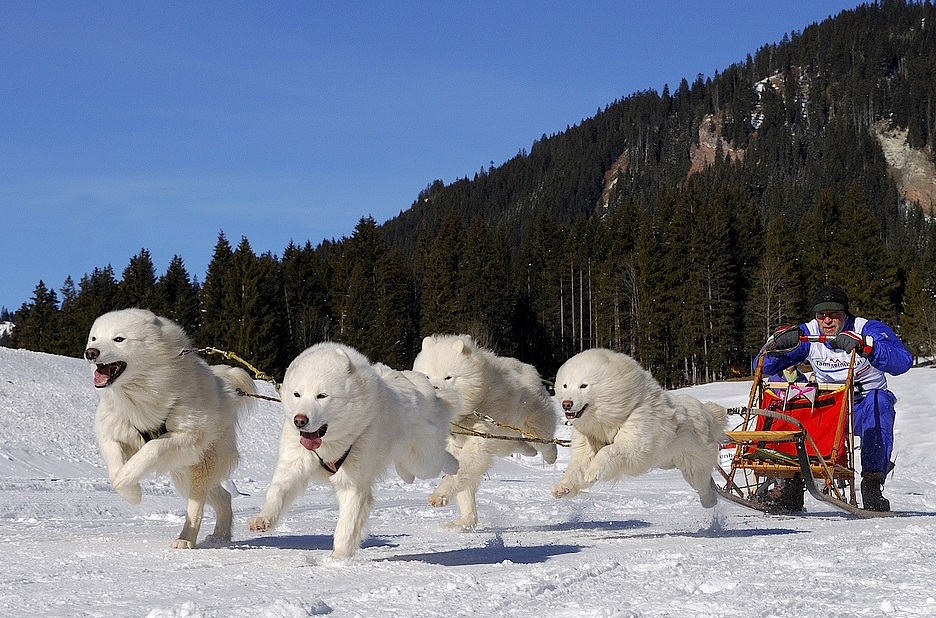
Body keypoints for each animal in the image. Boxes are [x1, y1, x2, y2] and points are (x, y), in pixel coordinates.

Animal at [85, 308, 256, 548]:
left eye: (119, 339)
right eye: (94, 338)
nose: (90, 353)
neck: (139, 393)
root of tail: (226, 387)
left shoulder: (188, 436)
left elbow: (151, 449)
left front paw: (128, 483)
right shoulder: (112, 431)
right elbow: (114, 464)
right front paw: (131, 492)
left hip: (197, 467)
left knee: (197, 507)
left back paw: (185, 540)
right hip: (184, 473)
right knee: (224, 497)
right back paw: (219, 536)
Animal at [247, 342, 456, 560]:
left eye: (322, 396)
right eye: (297, 394)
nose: (300, 420)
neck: (330, 444)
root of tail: (416, 383)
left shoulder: (353, 484)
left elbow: (346, 526)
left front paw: (338, 558)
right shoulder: (293, 465)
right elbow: (278, 492)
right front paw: (263, 519)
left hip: (424, 460)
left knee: (442, 459)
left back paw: (454, 466)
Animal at [414, 334, 560, 528]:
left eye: (448, 377)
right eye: (427, 376)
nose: (433, 392)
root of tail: (527, 367)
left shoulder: (478, 440)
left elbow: (461, 472)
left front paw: (439, 496)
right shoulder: (458, 445)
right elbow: (463, 484)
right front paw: (466, 521)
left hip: (532, 422)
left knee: (543, 439)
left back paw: (551, 455)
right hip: (503, 438)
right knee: (518, 444)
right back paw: (529, 450)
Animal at [552, 346, 728, 506]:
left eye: (583, 385)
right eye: (565, 385)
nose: (566, 404)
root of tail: (706, 412)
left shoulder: (634, 443)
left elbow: (607, 451)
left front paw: (593, 472)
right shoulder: (587, 444)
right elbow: (576, 468)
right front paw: (563, 488)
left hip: (694, 464)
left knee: (704, 486)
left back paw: (710, 501)